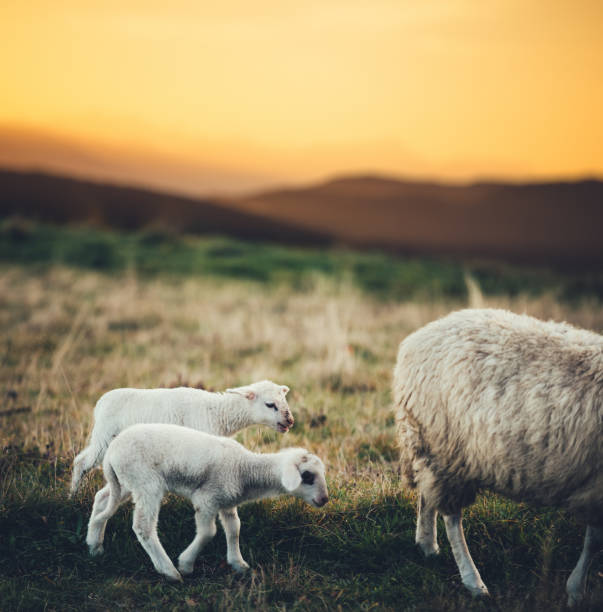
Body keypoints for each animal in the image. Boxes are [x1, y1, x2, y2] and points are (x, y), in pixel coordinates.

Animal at [69, 380, 294, 494]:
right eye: (270, 405)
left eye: (284, 400)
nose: (290, 421)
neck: (217, 413)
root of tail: (100, 403)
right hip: (104, 439)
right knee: (81, 462)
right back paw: (73, 495)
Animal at [85, 424, 328, 580]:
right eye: (307, 476)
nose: (324, 500)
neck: (244, 468)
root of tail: (111, 453)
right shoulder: (207, 498)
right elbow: (208, 533)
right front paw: (186, 564)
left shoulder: (227, 501)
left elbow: (234, 529)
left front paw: (238, 564)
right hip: (146, 483)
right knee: (143, 527)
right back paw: (170, 571)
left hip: (125, 482)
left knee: (101, 499)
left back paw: (94, 545)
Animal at [394, 308, 600, 604]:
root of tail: (417, 337)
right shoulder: (595, 488)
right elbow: (594, 541)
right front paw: (575, 592)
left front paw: (577, 590)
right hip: (447, 450)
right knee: (452, 518)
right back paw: (473, 582)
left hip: (430, 445)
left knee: (427, 494)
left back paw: (427, 545)